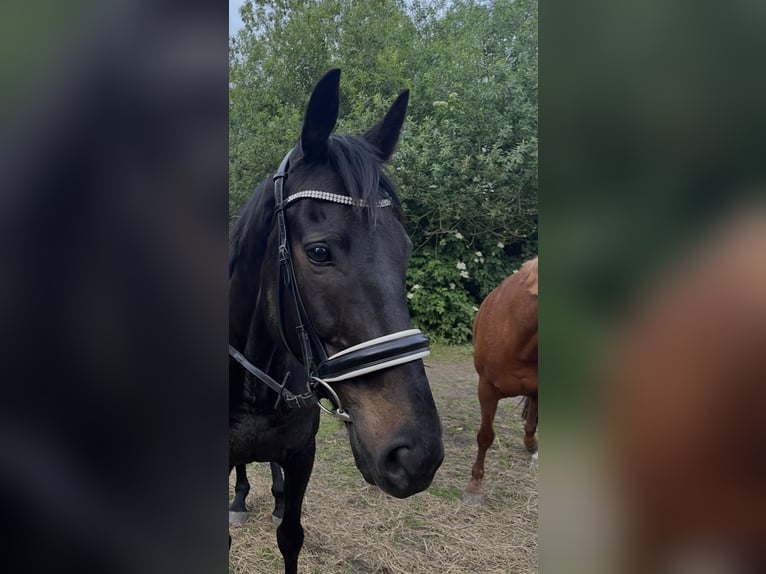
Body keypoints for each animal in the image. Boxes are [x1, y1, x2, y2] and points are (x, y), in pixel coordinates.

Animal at [228, 69, 444, 574]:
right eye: (320, 251)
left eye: (406, 249)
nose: (417, 454)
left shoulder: (301, 455)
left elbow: (291, 536)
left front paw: (282, 507)